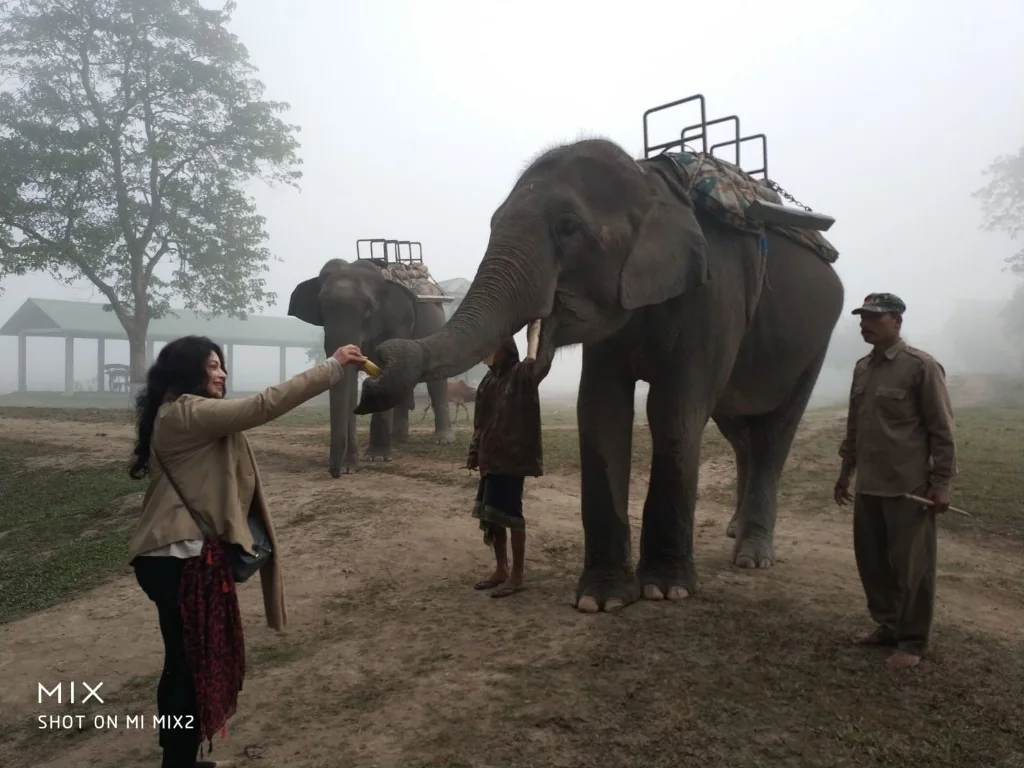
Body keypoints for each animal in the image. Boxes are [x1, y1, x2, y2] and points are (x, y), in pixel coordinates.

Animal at [288, 257, 454, 477]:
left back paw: (443, 440)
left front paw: (376, 457)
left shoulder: (394, 324)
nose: (335, 471)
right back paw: (398, 440)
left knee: (437, 381)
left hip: (435, 323)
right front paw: (350, 467)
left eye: (368, 307)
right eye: (321, 305)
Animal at [354, 138, 845, 613]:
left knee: (774, 432)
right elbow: (599, 408)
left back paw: (752, 555)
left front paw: (666, 591)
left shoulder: (714, 293)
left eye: (569, 227)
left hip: (817, 340)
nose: (376, 366)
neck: (651, 181)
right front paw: (601, 599)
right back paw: (734, 530)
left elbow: (673, 411)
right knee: (739, 432)